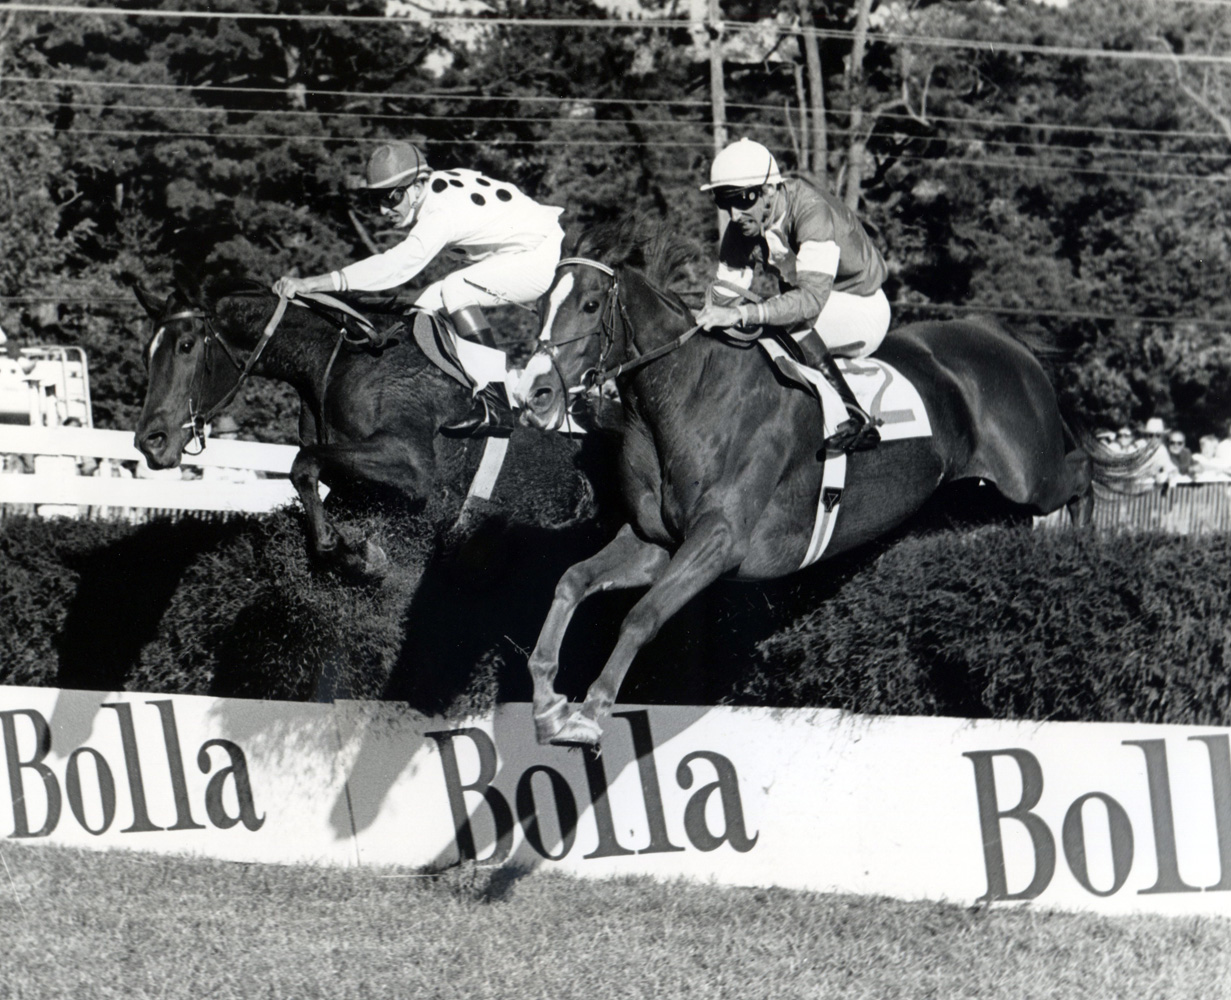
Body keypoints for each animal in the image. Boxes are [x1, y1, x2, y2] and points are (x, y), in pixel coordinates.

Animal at [134, 280, 610, 578]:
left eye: (186, 345)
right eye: (146, 352)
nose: (149, 443)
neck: (343, 360)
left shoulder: (413, 466)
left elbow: (302, 464)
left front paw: (348, 551)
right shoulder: (355, 476)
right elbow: (318, 478)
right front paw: (349, 545)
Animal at [514, 220, 1122, 748]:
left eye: (591, 304)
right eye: (540, 306)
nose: (534, 392)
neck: (690, 392)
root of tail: (1002, 337)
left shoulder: (719, 541)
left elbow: (642, 616)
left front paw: (590, 713)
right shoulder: (655, 541)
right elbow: (571, 581)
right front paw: (547, 704)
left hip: (1030, 474)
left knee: (1081, 476)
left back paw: (1084, 553)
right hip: (976, 503)